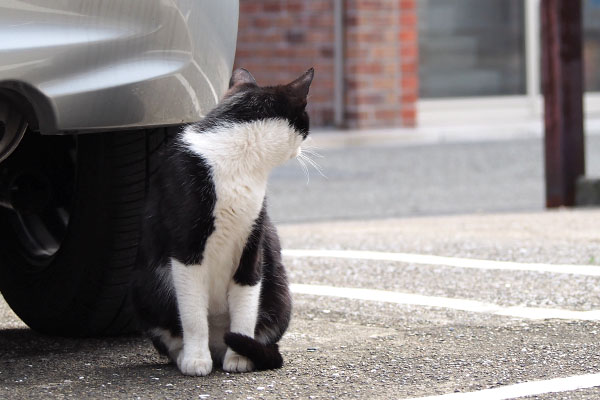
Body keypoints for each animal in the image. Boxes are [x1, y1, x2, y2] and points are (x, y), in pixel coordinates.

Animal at [128, 67, 312, 376]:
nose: (301, 151)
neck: (240, 156)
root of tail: (217, 345)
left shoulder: (252, 242)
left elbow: (246, 302)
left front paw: (239, 357)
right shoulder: (186, 248)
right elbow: (192, 314)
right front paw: (195, 359)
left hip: (281, 296)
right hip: (144, 292)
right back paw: (186, 355)